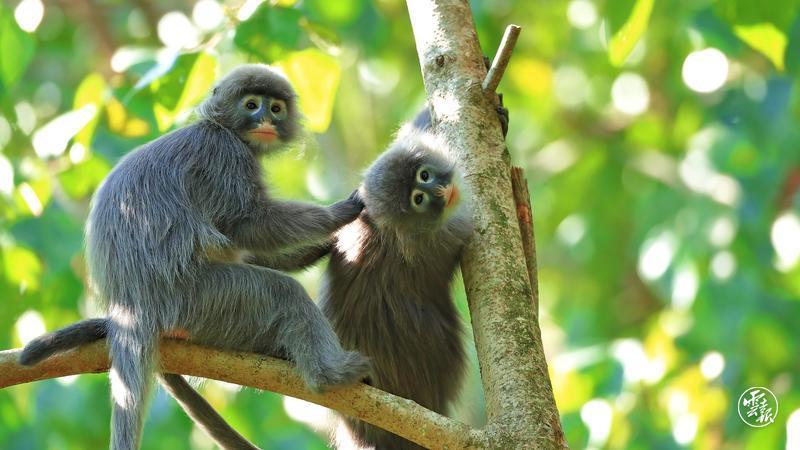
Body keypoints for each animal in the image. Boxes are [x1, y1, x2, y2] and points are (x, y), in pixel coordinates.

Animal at [18, 63, 368, 450]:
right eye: (251, 105)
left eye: (275, 109)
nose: (265, 119)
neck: (220, 129)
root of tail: (131, 307)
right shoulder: (225, 156)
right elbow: (248, 223)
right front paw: (341, 213)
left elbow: (245, 246)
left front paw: (319, 248)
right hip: (201, 299)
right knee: (282, 293)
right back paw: (329, 375)